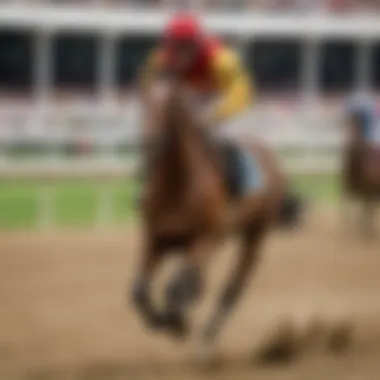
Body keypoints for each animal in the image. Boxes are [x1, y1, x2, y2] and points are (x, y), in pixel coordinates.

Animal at [131, 77, 300, 350]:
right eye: (143, 104)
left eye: (169, 107)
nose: (150, 143)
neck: (177, 186)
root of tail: (270, 154)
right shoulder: (156, 239)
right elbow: (139, 290)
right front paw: (161, 320)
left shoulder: (204, 238)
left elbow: (175, 287)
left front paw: (177, 323)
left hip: (254, 234)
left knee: (234, 285)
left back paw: (207, 335)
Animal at [342, 108, 380, 236]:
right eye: (346, 121)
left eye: (357, 123)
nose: (350, 135)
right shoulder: (354, 191)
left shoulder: (370, 193)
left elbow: (367, 213)